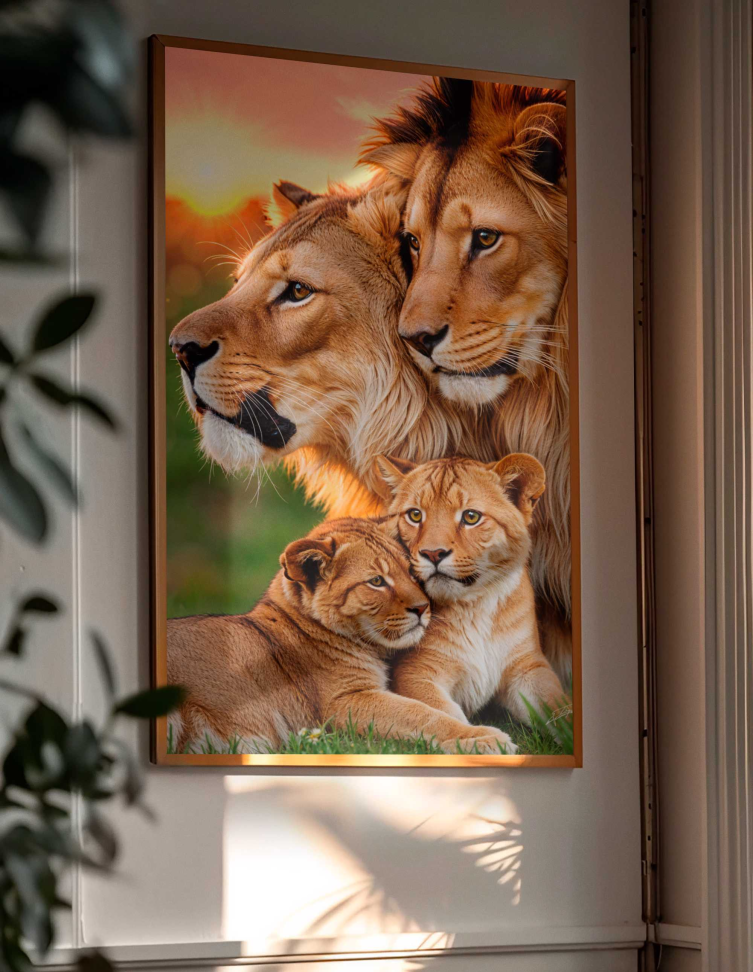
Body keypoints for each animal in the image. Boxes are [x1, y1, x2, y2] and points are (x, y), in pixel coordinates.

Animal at [167, 518, 513, 754]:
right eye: (376, 581)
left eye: (410, 571)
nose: (423, 608)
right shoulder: (344, 704)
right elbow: (420, 714)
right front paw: (485, 738)